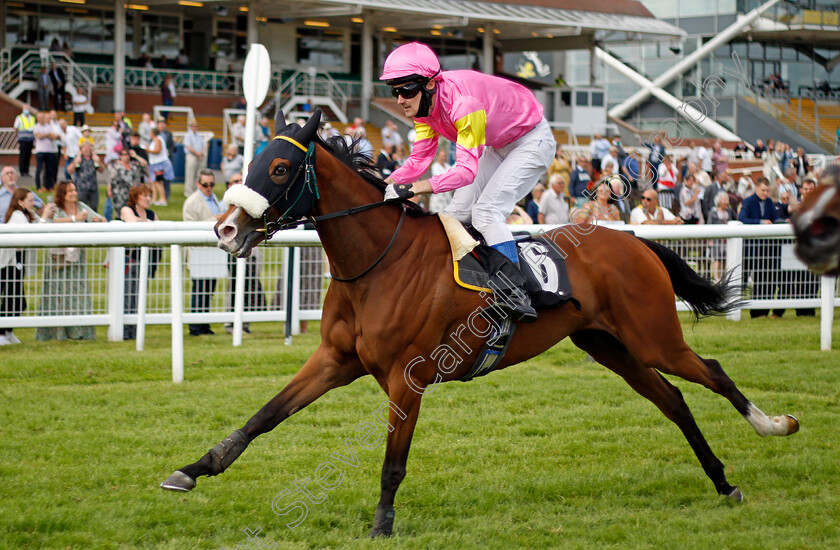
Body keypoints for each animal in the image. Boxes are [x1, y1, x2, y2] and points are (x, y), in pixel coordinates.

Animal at [159, 111, 800, 540]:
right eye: (248, 161)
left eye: (281, 166)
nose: (225, 230)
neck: (378, 261)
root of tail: (633, 239)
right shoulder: (336, 361)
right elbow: (264, 415)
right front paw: (193, 469)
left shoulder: (408, 377)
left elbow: (392, 461)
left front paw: (382, 526)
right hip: (609, 345)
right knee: (673, 400)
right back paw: (722, 480)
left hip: (653, 337)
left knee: (711, 372)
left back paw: (775, 426)